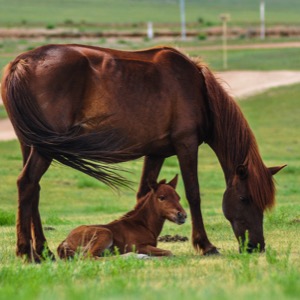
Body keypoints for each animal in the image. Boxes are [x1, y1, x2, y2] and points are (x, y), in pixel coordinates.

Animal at [57, 175, 186, 258]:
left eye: (178, 197)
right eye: (162, 197)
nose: (182, 215)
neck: (142, 225)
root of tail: (65, 241)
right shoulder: (137, 246)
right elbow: (169, 252)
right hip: (105, 233)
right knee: (90, 257)